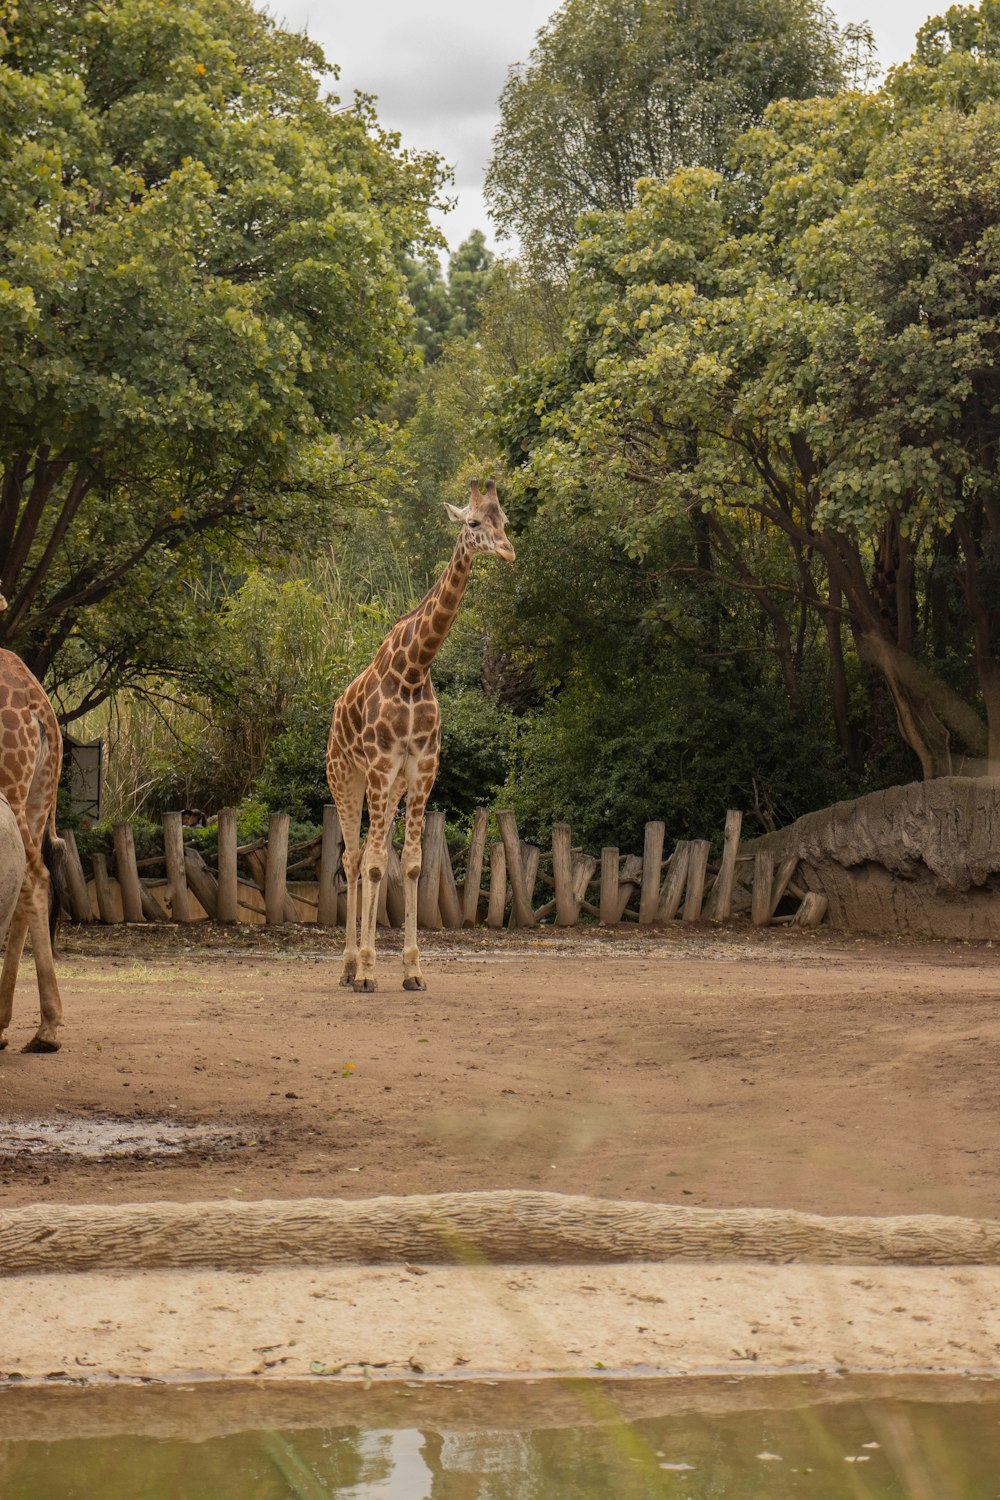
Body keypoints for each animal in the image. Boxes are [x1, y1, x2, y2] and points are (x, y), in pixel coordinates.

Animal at [328, 483, 515, 996]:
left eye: (505, 520)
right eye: (473, 523)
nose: (508, 551)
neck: (413, 670)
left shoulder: (423, 767)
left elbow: (409, 865)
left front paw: (411, 970)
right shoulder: (379, 764)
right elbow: (373, 864)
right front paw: (369, 971)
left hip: (390, 787)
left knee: (369, 856)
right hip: (346, 778)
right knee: (355, 858)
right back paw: (348, 968)